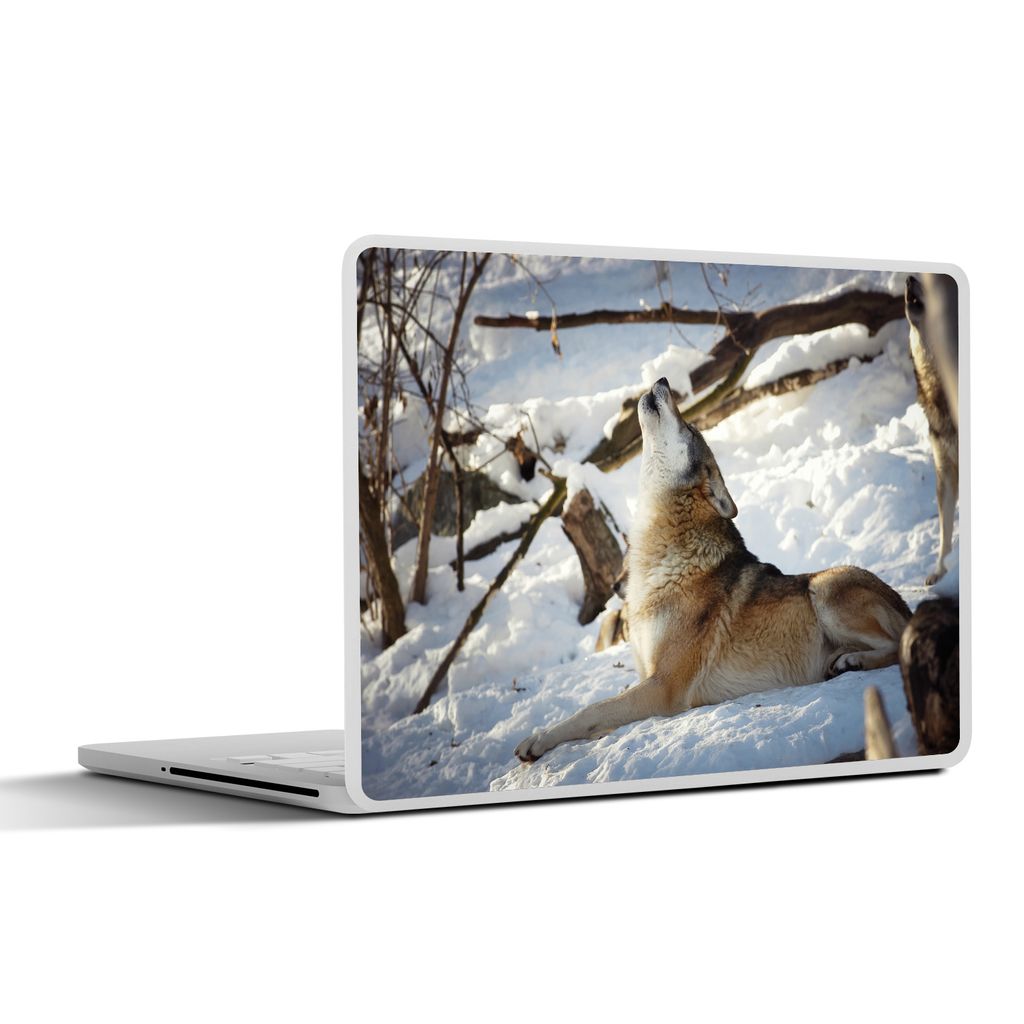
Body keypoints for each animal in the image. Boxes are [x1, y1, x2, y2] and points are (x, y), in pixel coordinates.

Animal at [515, 377, 911, 763]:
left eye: (689, 428)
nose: (662, 379)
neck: (662, 562)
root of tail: (905, 606)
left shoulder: (664, 687)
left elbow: (591, 710)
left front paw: (537, 741)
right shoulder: (646, 675)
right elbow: (598, 712)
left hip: (824, 588)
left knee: (898, 646)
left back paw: (854, 660)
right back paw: (843, 662)